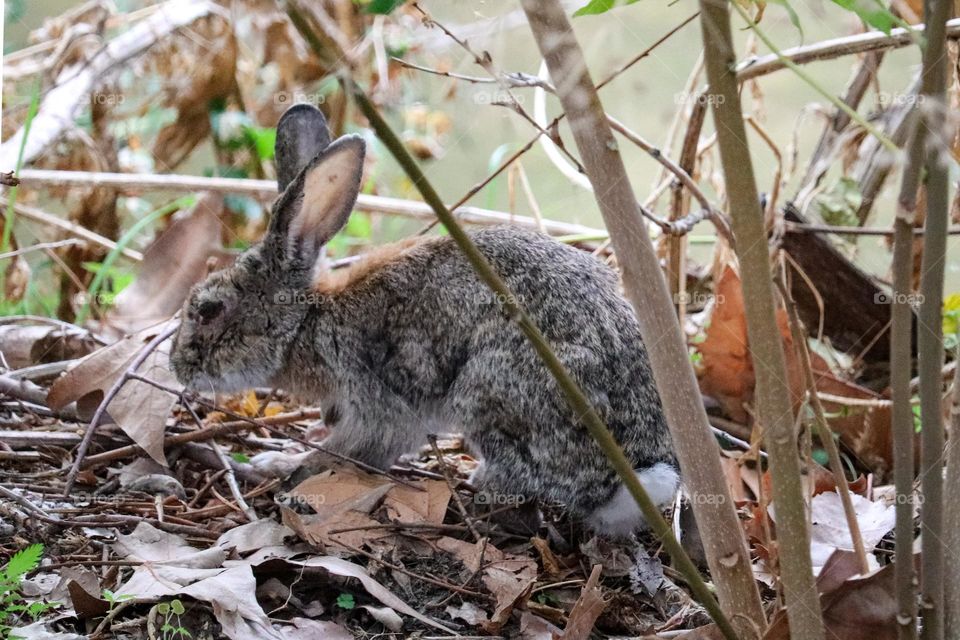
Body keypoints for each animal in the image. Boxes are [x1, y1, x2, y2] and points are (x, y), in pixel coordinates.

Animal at [172, 104, 684, 536]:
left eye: (209, 309)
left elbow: (354, 449)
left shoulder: (373, 403)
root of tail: (636, 480)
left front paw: (285, 470)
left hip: (491, 392)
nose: (177, 367)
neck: (306, 322)